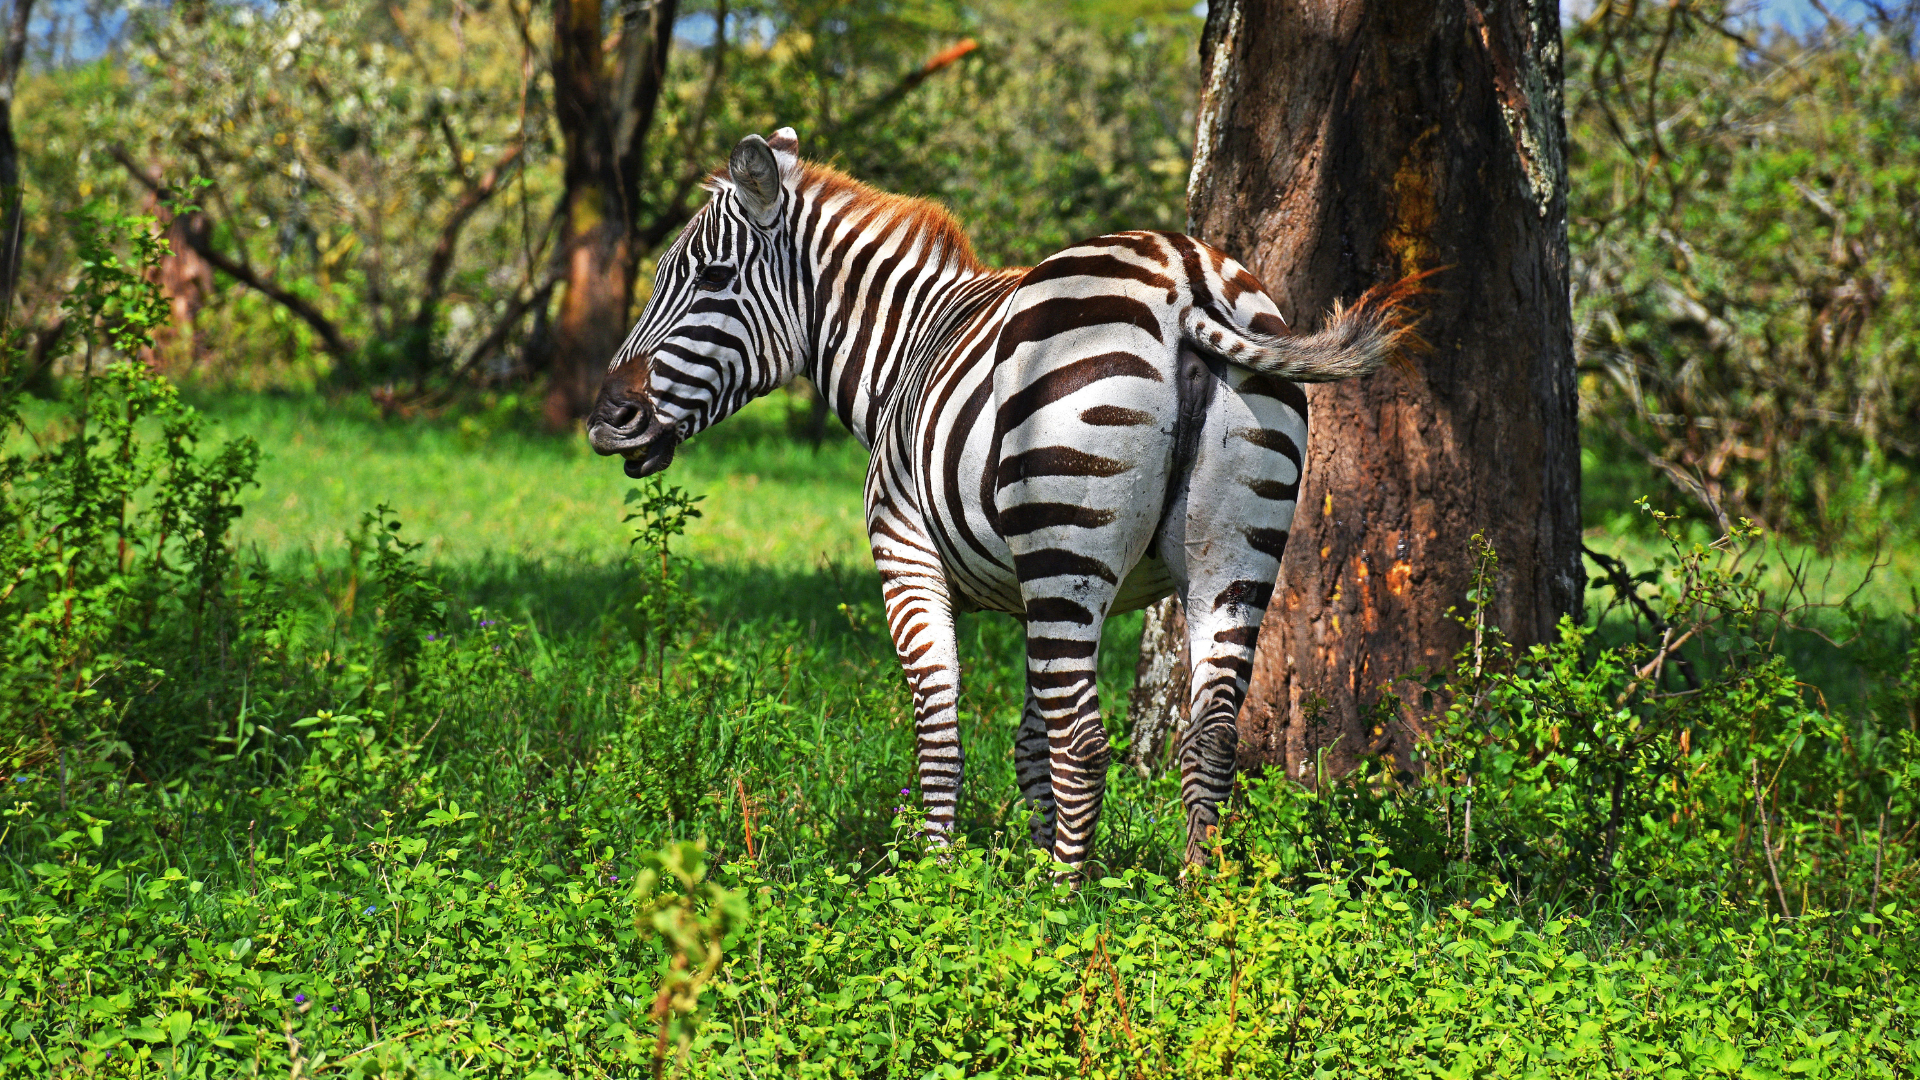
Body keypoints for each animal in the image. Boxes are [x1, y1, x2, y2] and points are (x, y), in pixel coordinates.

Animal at [591, 127, 1420, 864]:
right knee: (1208, 732)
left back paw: (1065, 903)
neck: (906, 350)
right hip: (1225, 552)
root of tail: (1185, 280)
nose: (607, 419)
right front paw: (1025, 859)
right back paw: (1196, 897)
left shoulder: (908, 557)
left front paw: (935, 876)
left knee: (1084, 742)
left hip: (1068, 542)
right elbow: (1026, 742)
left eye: (711, 279)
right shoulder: (1027, 594)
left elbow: (940, 725)